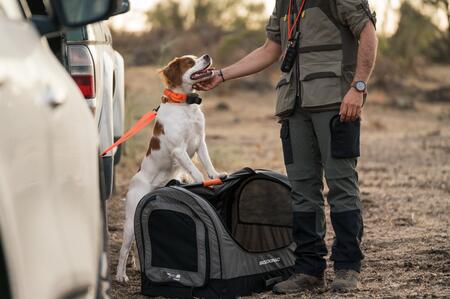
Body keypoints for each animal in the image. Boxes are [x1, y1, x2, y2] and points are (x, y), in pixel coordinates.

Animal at [116, 54, 225, 284]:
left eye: (197, 57)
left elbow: (207, 163)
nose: (207, 56)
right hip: (130, 221)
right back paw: (120, 275)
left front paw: (216, 175)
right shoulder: (179, 150)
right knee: (123, 249)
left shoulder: (200, 142)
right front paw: (203, 181)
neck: (184, 105)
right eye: (189, 62)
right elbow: (195, 170)